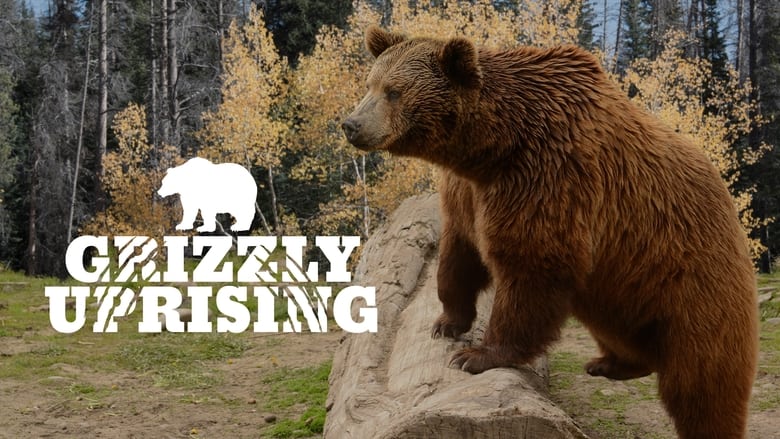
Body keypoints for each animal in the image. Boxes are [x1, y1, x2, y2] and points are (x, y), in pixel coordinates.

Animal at [342, 26, 759, 439]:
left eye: (394, 91)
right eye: (370, 84)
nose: (351, 124)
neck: (493, 149)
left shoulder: (549, 177)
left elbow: (531, 267)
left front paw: (476, 356)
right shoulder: (468, 193)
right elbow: (458, 255)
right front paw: (447, 323)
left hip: (693, 278)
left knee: (702, 381)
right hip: (622, 286)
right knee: (619, 329)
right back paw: (609, 364)